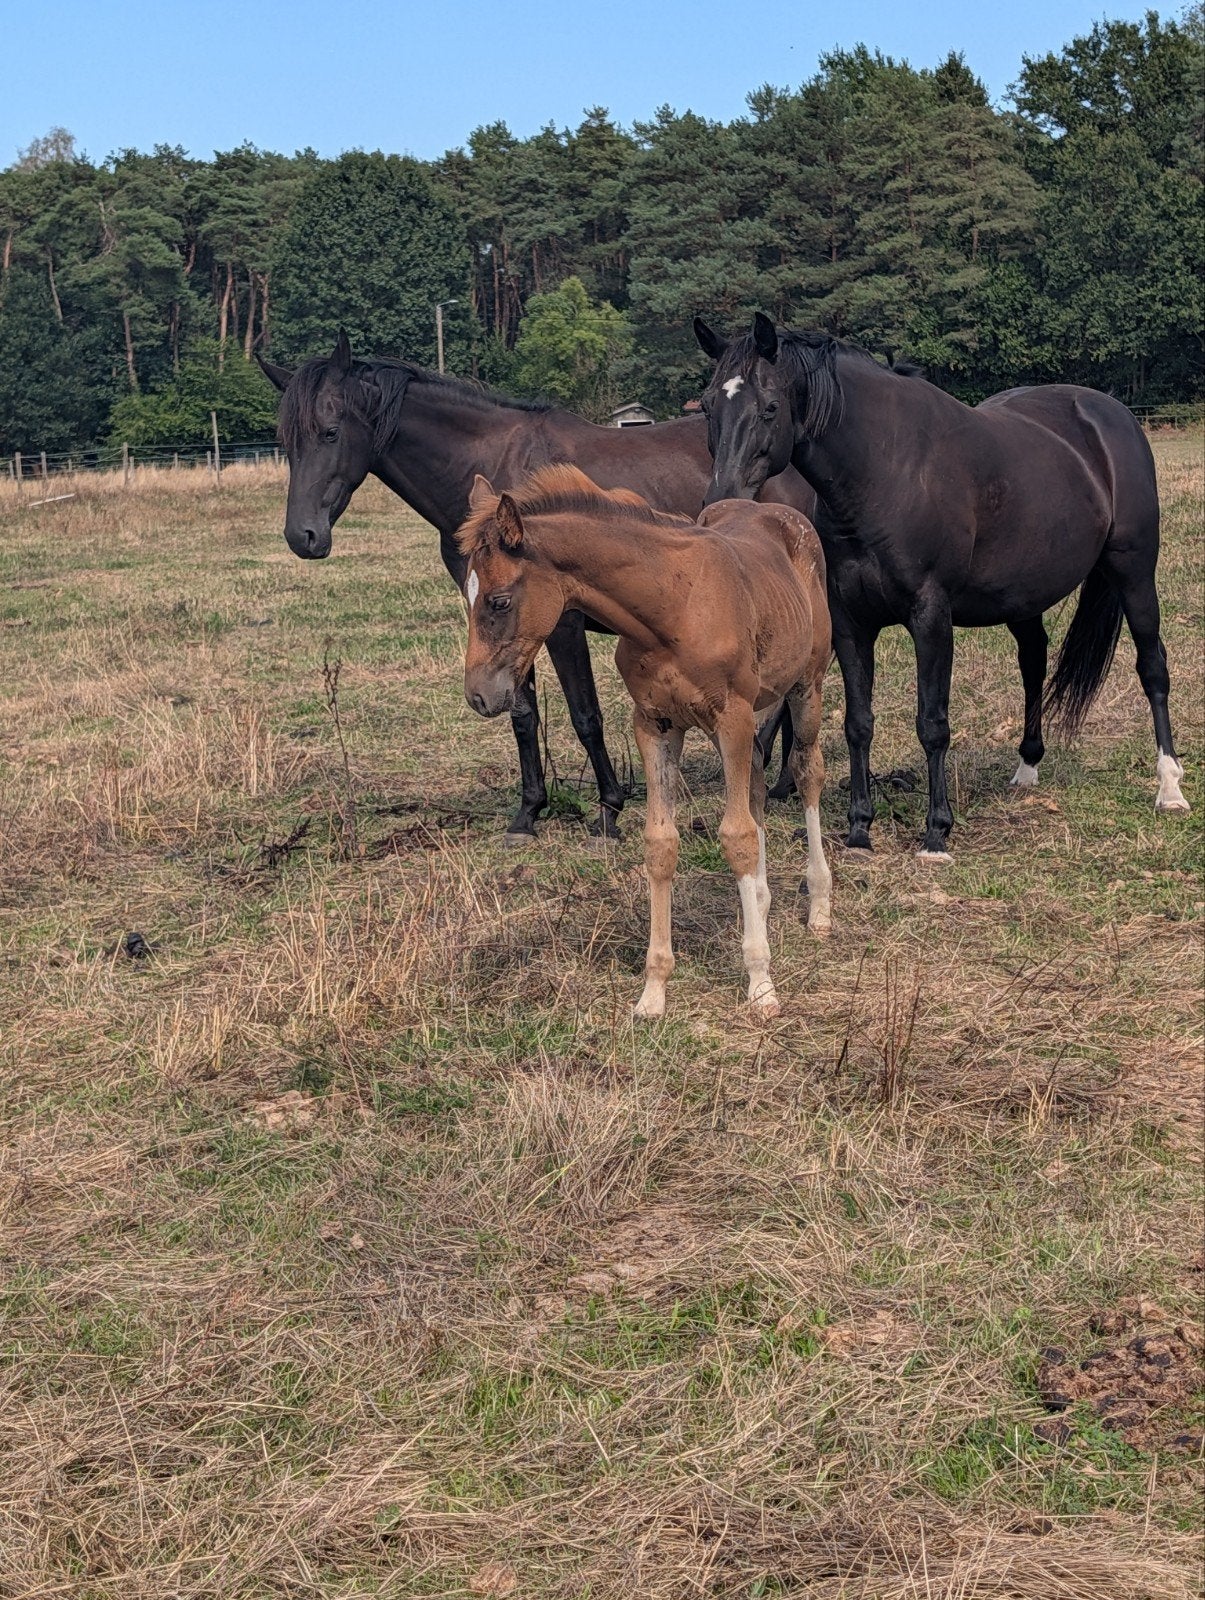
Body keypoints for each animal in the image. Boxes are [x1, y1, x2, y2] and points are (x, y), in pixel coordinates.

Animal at [259, 332, 816, 840]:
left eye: (330, 432)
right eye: (286, 441)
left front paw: (609, 810)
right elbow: (521, 714)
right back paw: (782, 782)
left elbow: (584, 714)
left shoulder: (560, 622)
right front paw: (528, 812)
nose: (303, 536)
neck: (492, 465)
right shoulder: (506, 624)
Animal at [458, 464, 833, 1018]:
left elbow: (737, 836)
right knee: (757, 786)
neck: (672, 607)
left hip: (807, 688)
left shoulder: (733, 717)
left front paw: (761, 984)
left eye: (499, 601)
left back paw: (820, 905)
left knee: (807, 774)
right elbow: (662, 843)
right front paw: (653, 991)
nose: (480, 696)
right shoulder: (654, 723)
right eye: (466, 596)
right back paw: (762, 903)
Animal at [693, 314, 1190, 859]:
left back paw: (1170, 787)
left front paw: (936, 831)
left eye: (770, 406)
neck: (885, 470)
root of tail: (1110, 414)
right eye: (709, 405)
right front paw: (860, 828)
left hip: (1134, 573)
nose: (720, 503)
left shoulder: (931, 618)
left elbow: (932, 724)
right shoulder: (851, 625)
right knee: (1033, 662)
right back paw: (1027, 767)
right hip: (1023, 598)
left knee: (1153, 667)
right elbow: (858, 723)